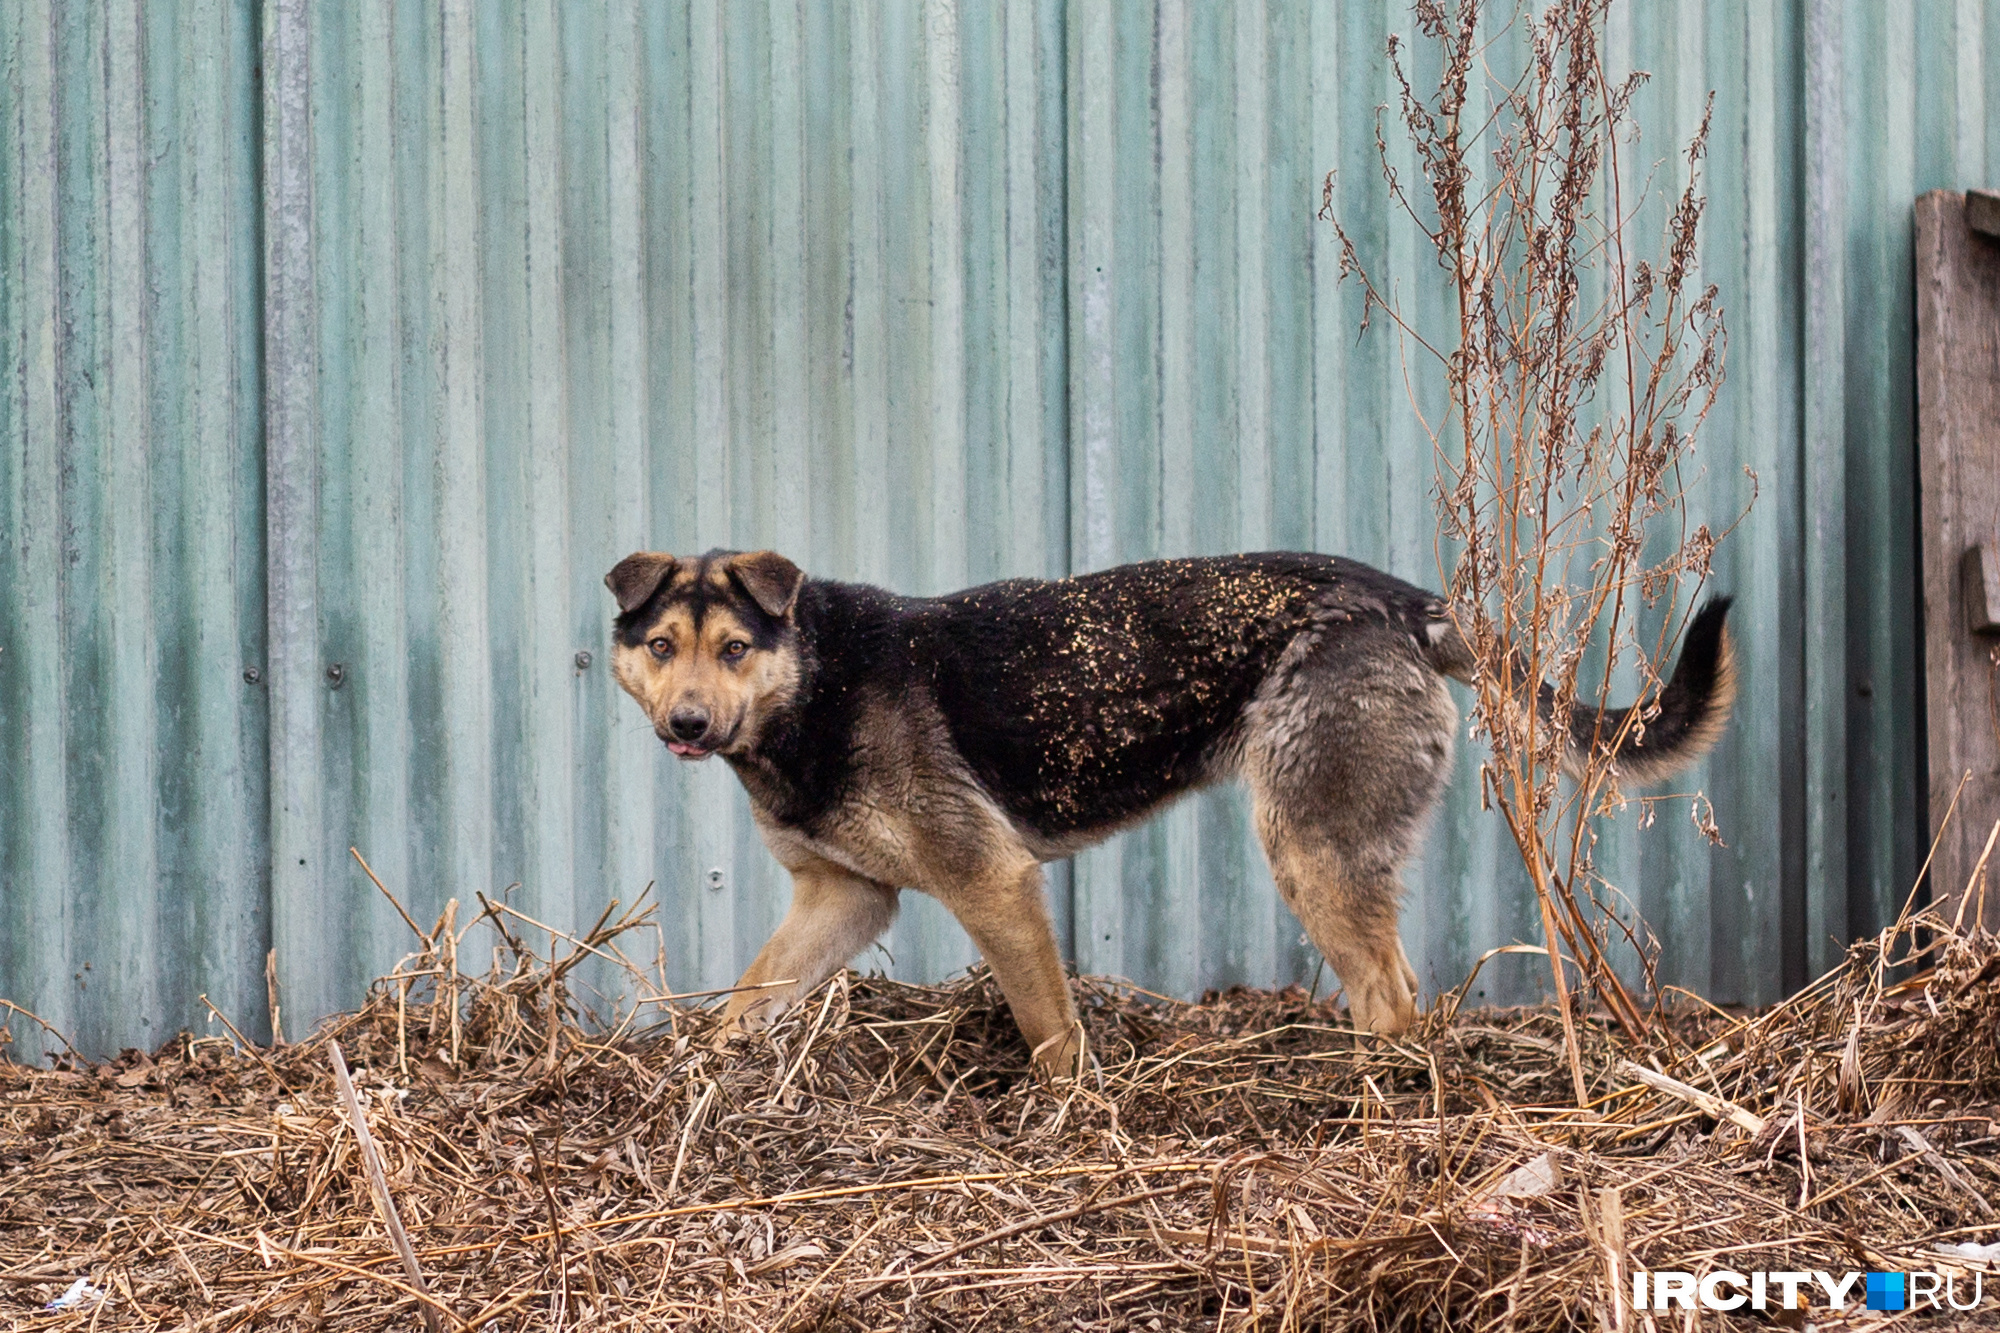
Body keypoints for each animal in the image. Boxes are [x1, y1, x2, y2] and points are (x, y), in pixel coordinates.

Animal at [600, 544, 1728, 1072]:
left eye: (733, 648)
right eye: (660, 647)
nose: (688, 723)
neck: (814, 678)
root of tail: (1405, 599)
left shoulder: (992, 881)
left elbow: (1051, 1033)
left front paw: (1069, 1124)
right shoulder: (842, 899)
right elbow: (747, 1000)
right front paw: (693, 1082)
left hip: (1307, 847)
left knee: (1392, 997)